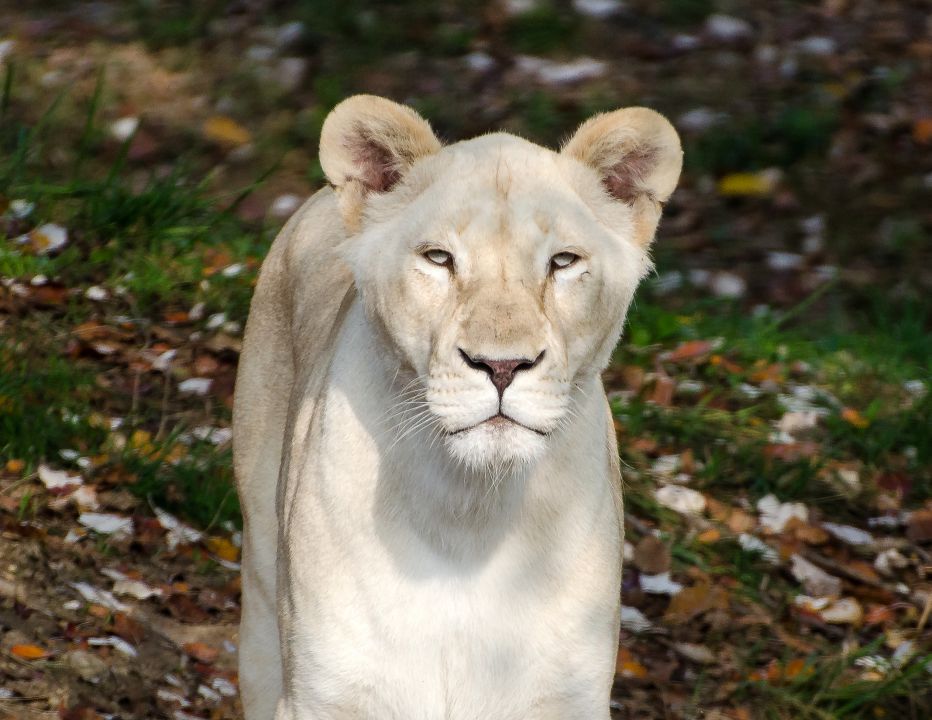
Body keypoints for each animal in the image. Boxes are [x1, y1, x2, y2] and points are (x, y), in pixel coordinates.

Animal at [233, 95, 684, 720]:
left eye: (563, 262)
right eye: (439, 258)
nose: (502, 366)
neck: (469, 515)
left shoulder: (567, 695)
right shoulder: (325, 692)